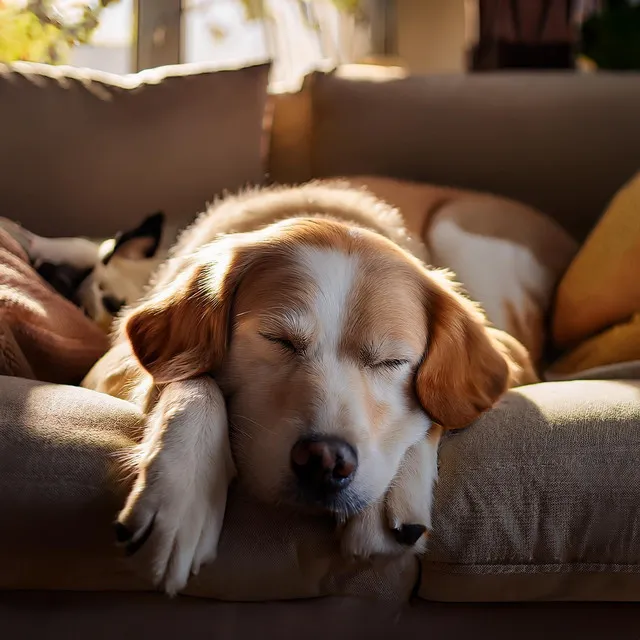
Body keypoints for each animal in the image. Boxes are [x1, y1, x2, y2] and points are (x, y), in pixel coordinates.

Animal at [82, 181, 536, 596]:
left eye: (390, 362)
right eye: (278, 340)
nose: (325, 462)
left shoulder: (512, 354)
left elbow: (432, 414)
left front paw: (390, 497)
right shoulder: (110, 363)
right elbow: (192, 379)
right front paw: (181, 493)